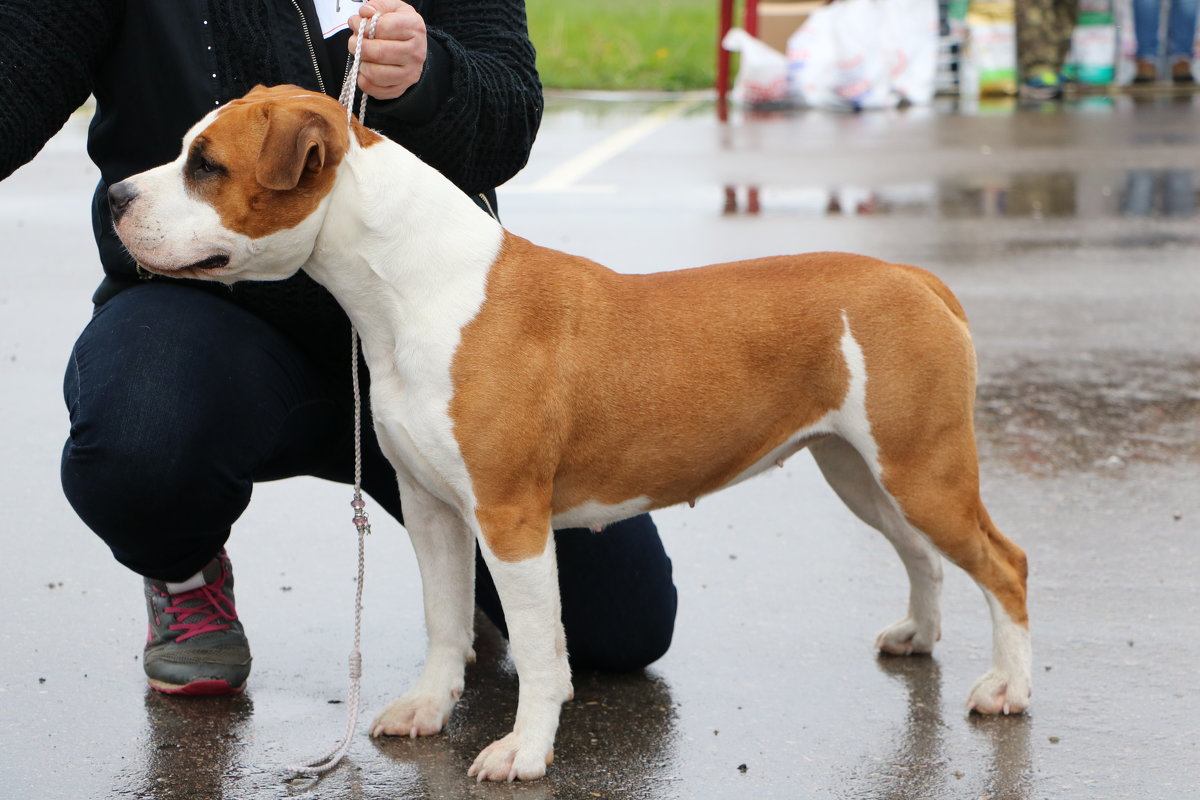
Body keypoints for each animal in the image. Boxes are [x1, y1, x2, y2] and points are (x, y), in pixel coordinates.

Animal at [110, 86, 1032, 782]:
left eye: (206, 165)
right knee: (922, 556)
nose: (115, 196)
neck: (413, 286)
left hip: (922, 469)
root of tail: (913, 279)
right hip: (863, 468)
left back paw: (1006, 689)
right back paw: (917, 636)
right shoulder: (435, 509)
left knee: (1005, 565)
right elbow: (446, 621)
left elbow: (542, 649)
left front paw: (523, 750)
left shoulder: (510, 518)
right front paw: (429, 707)